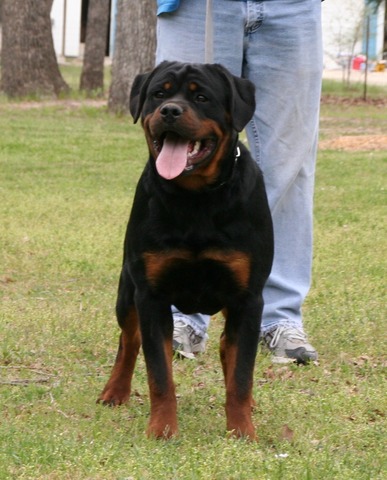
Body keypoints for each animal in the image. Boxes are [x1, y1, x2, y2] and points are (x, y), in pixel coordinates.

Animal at [98, 62, 274, 440]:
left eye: (201, 97)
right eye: (158, 94)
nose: (170, 111)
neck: (196, 199)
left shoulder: (248, 297)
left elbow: (241, 374)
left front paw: (241, 430)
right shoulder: (150, 296)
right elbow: (159, 374)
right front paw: (162, 429)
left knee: (229, 348)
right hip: (127, 292)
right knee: (128, 340)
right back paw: (114, 391)